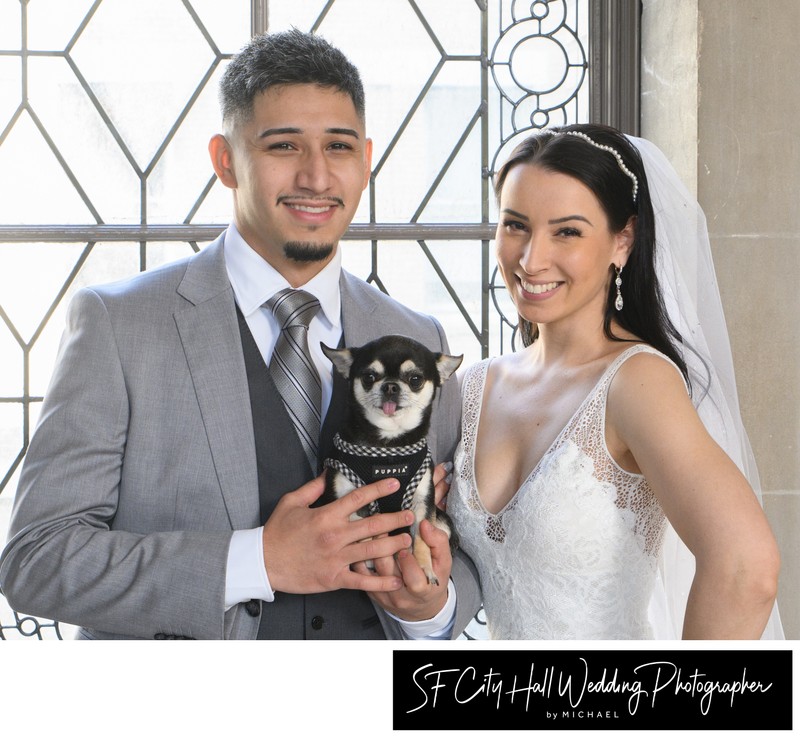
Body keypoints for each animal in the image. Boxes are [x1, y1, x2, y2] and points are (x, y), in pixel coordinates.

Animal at [320, 334, 462, 588]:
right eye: (369, 377)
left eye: (415, 379)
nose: (390, 386)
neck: (389, 445)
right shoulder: (340, 500)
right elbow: (356, 522)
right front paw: (368, 547)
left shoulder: (422, 503)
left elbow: (422, 538)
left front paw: (424, 567)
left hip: (443, 522)